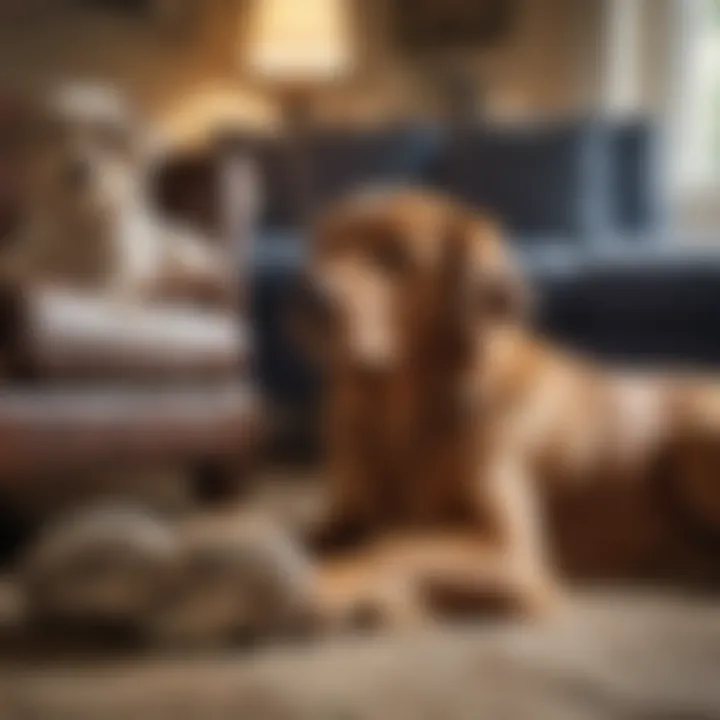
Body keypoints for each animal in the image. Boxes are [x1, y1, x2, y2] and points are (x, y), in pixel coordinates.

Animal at [296, 188, 720, 628]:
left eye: (396, 255)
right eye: (325, 246)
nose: (307, 296)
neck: (404, 417)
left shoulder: (513, 555)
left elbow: (396, 542)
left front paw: (329, 585)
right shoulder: (345, 514)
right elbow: (305, 533)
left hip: (699, 435)